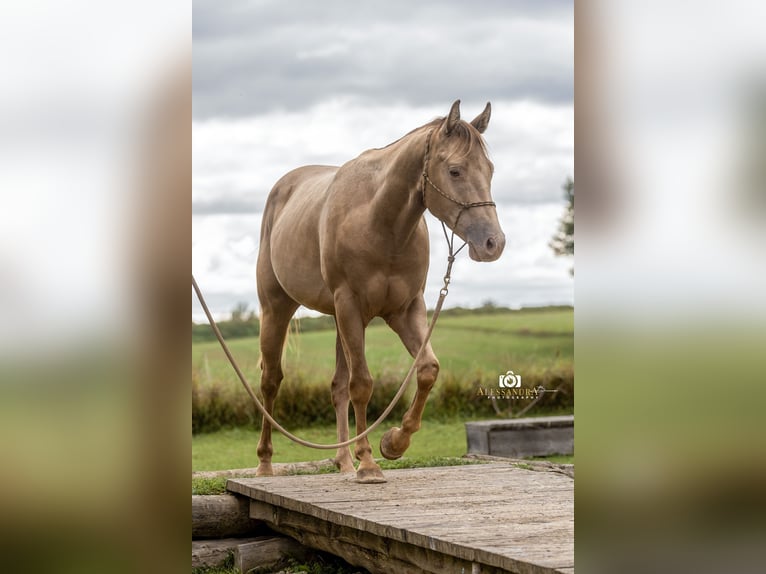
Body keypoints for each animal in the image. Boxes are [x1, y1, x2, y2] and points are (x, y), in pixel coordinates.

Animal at [256, 100, 505, 483]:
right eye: (455, 171)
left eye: (489, 170)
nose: (494, 243)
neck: (379, 222)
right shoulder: (350, 306)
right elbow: (363, 384)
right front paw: (369, 463)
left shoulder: (405, 310)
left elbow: (427, 369)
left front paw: (394, 442)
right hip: (277, 310)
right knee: (271, 382)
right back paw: (266, 463)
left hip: (340, 322)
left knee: (337, 387)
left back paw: (343, 461)